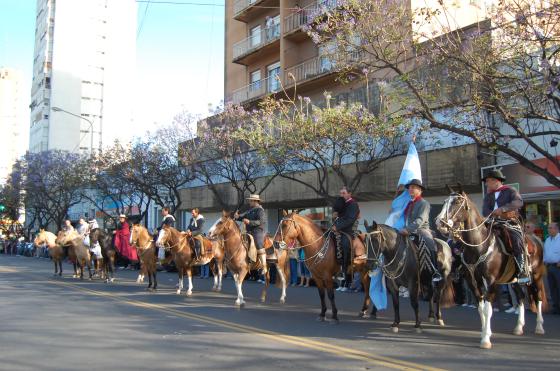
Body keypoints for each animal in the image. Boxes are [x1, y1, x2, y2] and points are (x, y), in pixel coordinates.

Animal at [434, 187, 548, 350]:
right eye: (444, 202)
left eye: (457, 202)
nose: (439, 223)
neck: (479, 245)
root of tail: (536, 239)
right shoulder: (473, 282)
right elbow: (481, 309)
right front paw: (484, 331)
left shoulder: (491, 282)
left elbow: (488, 310)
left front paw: (486, 339)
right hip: (514, 280)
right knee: (520, 297)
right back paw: (518, 327)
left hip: (536, 276)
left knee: (537, 298)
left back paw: (539, 327)